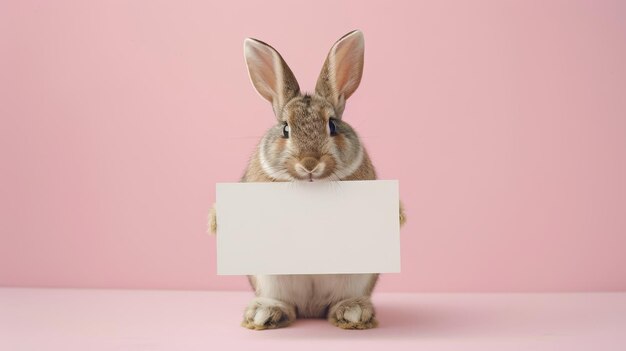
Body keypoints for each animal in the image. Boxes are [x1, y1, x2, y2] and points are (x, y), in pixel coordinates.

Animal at [208, 29, 404, 330]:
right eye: (285, 129)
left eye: (332, 125)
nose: (309, 163)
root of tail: (312, 309)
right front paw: (216, 220)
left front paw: (397, 214)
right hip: (269, 280)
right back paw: (266, 314)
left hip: (356, 278)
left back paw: (352, 312)